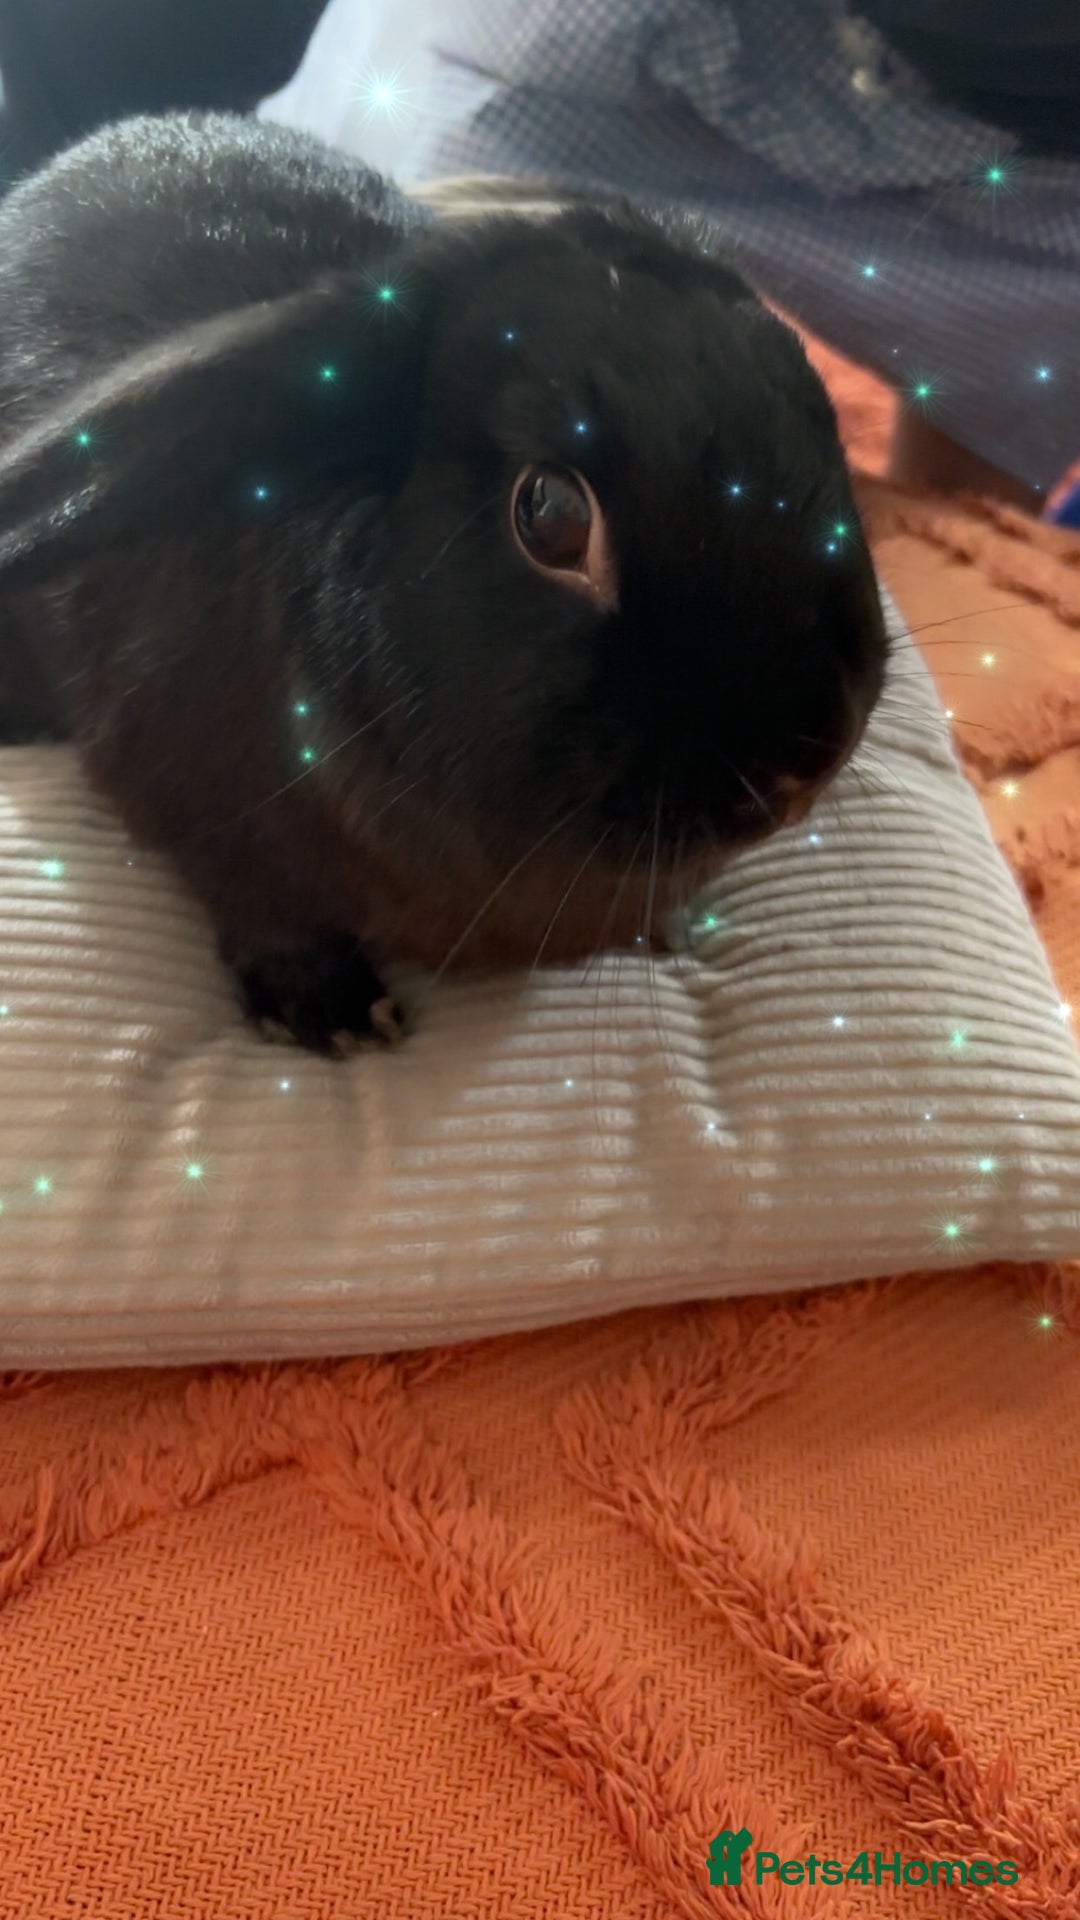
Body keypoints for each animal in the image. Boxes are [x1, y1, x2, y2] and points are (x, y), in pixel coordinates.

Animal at [0, 111, 889, 1056]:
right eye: (550, 515)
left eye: (818, 410)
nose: (804, 759)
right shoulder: (193, 815)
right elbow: (262, 911)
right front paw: (334, 1013)